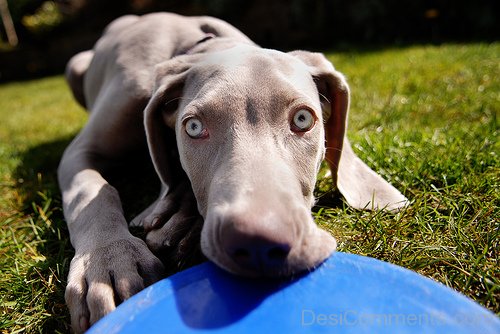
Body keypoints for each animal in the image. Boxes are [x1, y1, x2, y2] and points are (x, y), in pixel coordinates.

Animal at [60, 11, 408, 332]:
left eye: (303, 119)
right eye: (193, 127)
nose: (257, 243)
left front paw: (178, 220)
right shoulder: (79, 152)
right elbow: (92, 193)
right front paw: (108, 261)